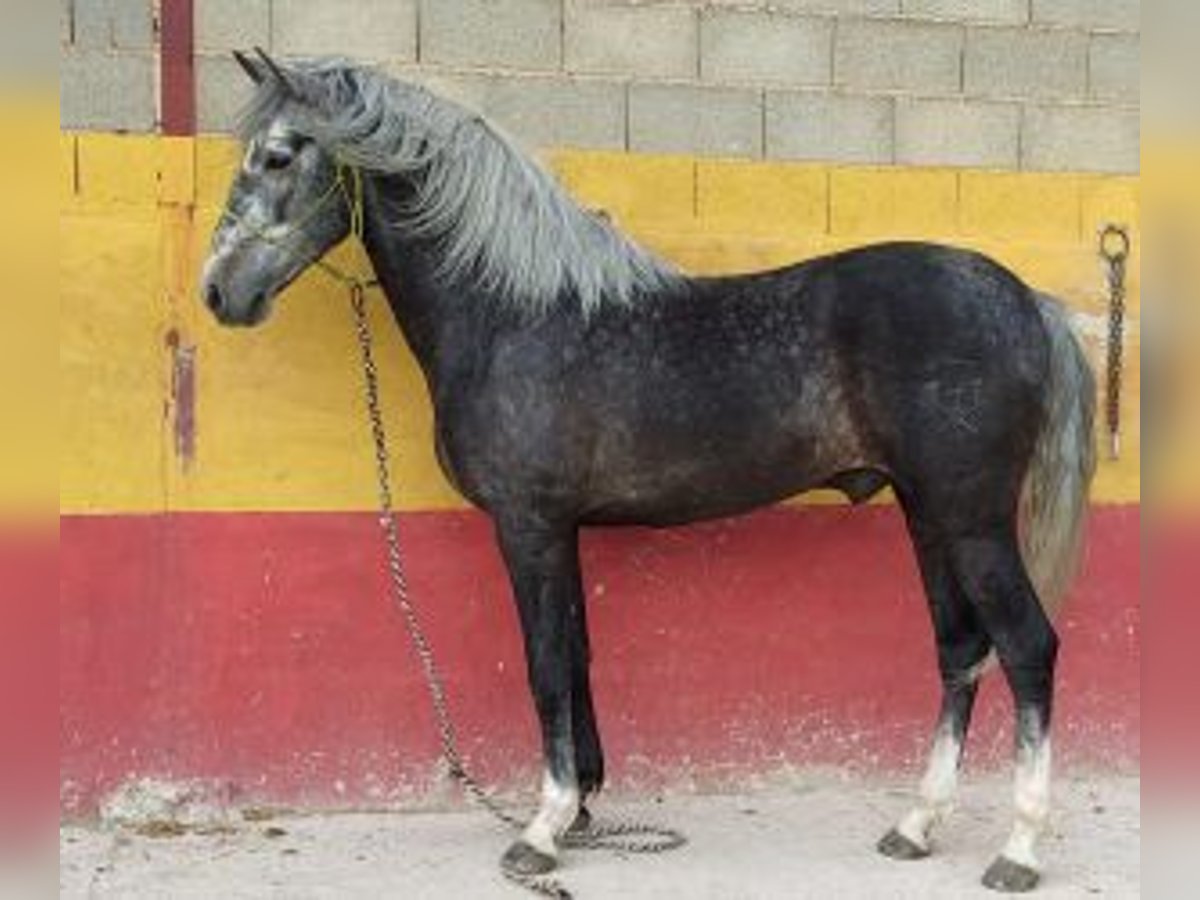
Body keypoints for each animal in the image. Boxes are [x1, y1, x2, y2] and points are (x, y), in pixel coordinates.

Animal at [201, 56, 1094, 897]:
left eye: (277, 155)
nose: (219, 293)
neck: (511, 312)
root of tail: (1028, 302)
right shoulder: (562, 530)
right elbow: (577, 655)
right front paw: (583, 806)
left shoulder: (529, 525)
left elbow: (545, 664)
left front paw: (542, 829)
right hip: (928, 513)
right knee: (960, 647)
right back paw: (915, 825)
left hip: (972, 520)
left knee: (1026, 646)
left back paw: (1018, 850)